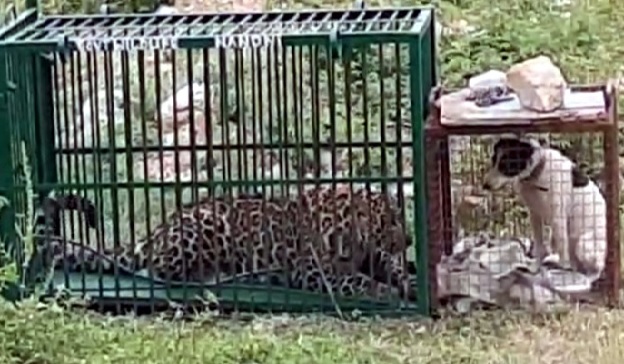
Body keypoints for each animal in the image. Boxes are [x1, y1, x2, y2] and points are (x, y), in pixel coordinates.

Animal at [41, 186, 416, 300]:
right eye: (392, 221)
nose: (410, 238)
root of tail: (155, 232)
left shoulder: (375, 257)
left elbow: (390, 268)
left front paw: (409, 282)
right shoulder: (315, 272)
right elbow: (356, 280)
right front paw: (384, 291)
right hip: (204, 228)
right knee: (160, 271)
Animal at [480, 136, 608, 278]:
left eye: (505, 165)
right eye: (493, 160)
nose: (485, 185)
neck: (537, 173)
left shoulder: (558, 217)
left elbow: (562, 248)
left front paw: (563, 270)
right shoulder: (534, 214)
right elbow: (539, 246)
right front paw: (536, 268)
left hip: (583, 243)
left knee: (596, 268)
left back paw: (587, 275)